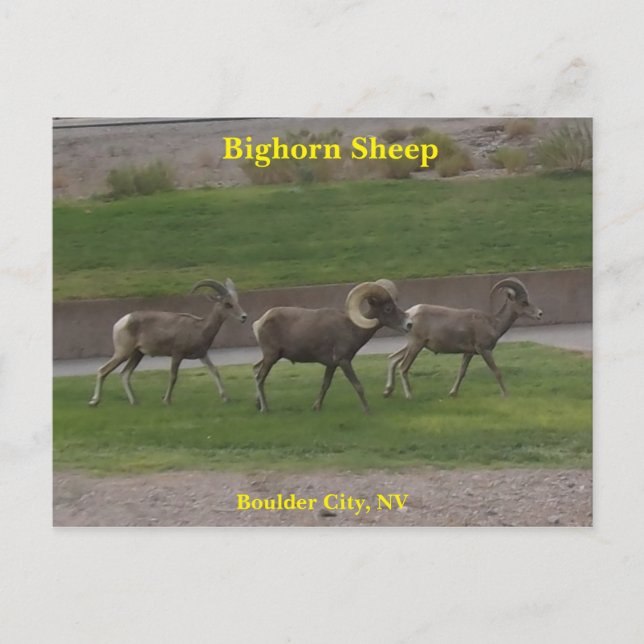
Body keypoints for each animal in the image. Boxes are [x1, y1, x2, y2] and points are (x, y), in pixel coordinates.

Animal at [88, 278, 247, 406]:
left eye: (237, 301)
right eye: (227, 304)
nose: (244, 317)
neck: (199, 328)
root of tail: (121, 322)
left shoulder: (202, 355)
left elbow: (215, 371)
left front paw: (225, 398)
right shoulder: (177, 355)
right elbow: (173, 377)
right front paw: (166, 401)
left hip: (137, 355)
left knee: (125, 374)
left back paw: (134, 402)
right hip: (123, 353)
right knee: (103, 370)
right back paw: (94, 402)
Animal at [252, 279, 412, 413]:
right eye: (388, 308)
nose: (409, 324)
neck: (351, 328)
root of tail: (259, 322)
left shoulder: (332, 365)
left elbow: (325, 384)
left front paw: (316, 407)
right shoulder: (344, 361)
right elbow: (358, 385)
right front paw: (367, 410)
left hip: (270, 357)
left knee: (256, 372)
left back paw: (258, 405)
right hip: (271, 357)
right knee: (259, 378)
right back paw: (264, 409)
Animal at [383, 277, 543, 399]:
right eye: (524, 302)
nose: (540, 314)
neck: (492, 323)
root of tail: (409, 314)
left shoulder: (468, 353)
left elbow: (461, 372)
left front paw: (453, 393)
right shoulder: (484, 350)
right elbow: (496, 372)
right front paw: (505, 394)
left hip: (412, 345)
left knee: (393, 358)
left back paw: (387, 391)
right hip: (416, 345)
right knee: (403, 367)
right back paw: (409, 396)